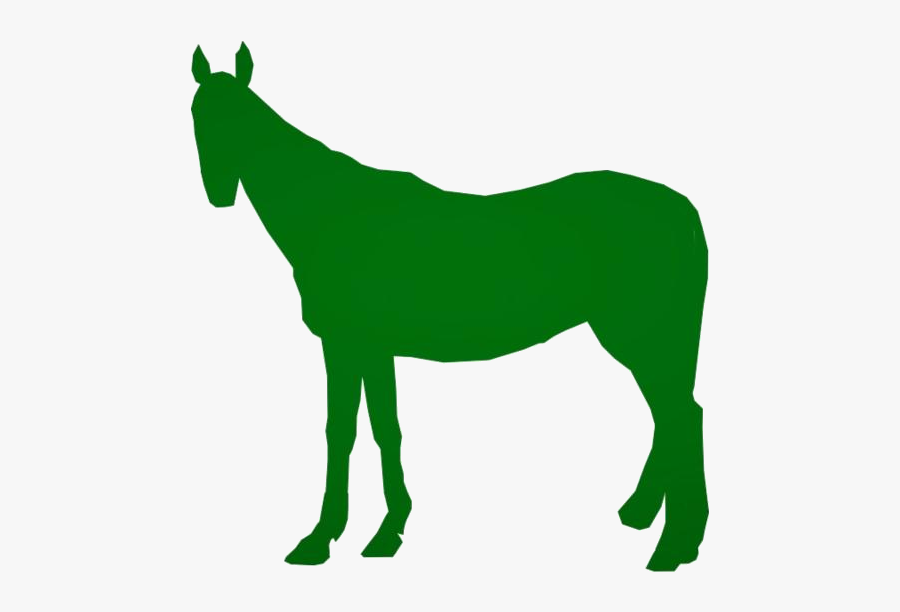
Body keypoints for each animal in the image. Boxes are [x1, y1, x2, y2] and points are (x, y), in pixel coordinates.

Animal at [190, 43, 709, 571]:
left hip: (639, 335)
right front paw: (387, 530)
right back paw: (642, 514)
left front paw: (322, 539)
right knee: (671, 415)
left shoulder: (346, 343)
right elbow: (384, 429)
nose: (219, 193)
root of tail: (682, 207)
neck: (330, 215)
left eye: (240, 118)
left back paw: (674, 545)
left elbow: (343, 431)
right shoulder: (373, 348)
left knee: (681, 415)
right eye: (196, 116)